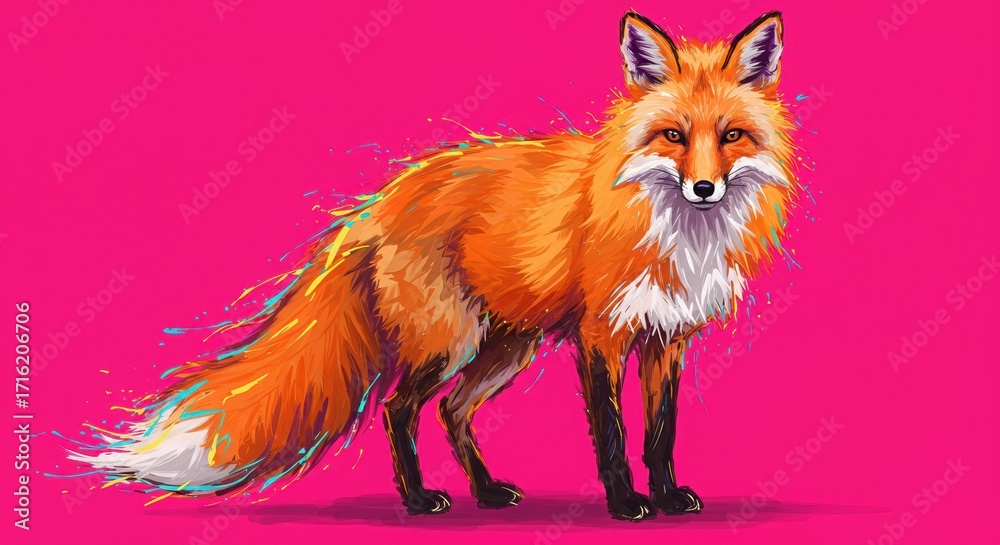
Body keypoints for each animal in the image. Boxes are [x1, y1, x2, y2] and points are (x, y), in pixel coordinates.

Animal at [70, 11, 798, 521]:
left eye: (731, 136)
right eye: (673, 135)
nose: (703, 188)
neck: (677, 237)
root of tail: (383, 201)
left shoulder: (667, 338)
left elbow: (662, 434)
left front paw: (668, 496)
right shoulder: (601, 336)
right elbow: (615, 438)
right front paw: (626, 505)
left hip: (503, 347)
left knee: (452, 411)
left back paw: (486, 490)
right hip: (452, 340)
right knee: (400, 409)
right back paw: (419, 501)